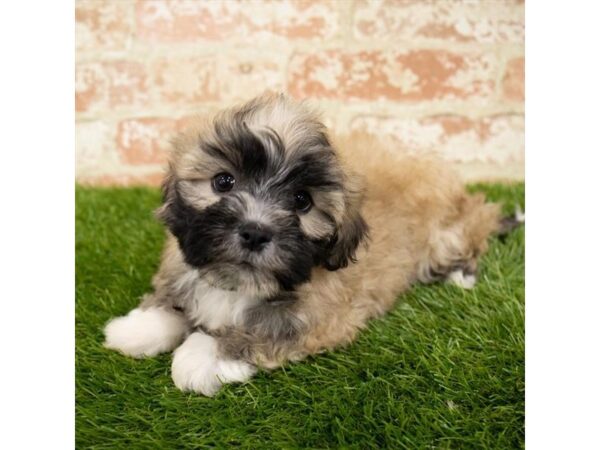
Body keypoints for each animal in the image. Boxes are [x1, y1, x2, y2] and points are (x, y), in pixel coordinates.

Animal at [104, 93, 506, 396]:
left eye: (302, 201)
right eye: (223, 181)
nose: (254, 232)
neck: (239, 284)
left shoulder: (320, 318)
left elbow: (259, 330)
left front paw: (200, 355)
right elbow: (173, 299)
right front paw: (141, 327)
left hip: (449, 234)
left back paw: (461, 275)